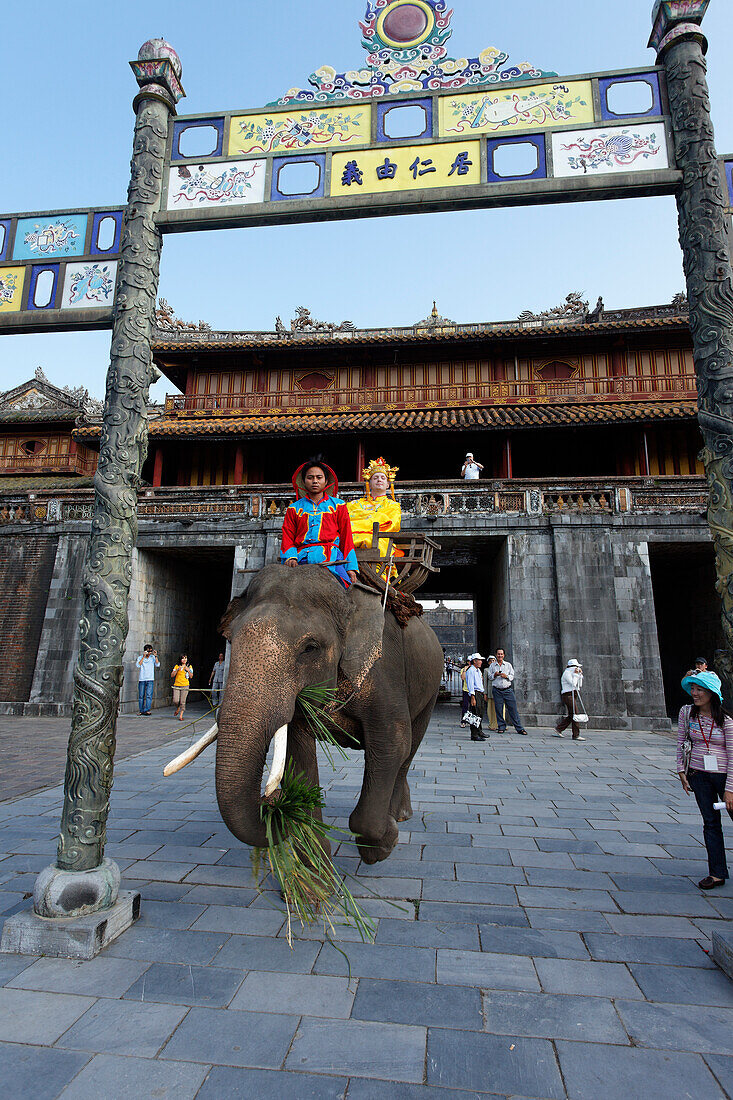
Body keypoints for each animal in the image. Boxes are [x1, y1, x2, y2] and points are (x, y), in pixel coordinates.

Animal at [211, 563, 440, 862]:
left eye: (310, 648)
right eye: (229, 640)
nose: (273, 801)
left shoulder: (384, 668)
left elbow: (392, 742)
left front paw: (382, 846)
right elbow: (298, 754)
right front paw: (317, 866)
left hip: (431, 685)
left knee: (410, 747)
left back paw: (398, 817)